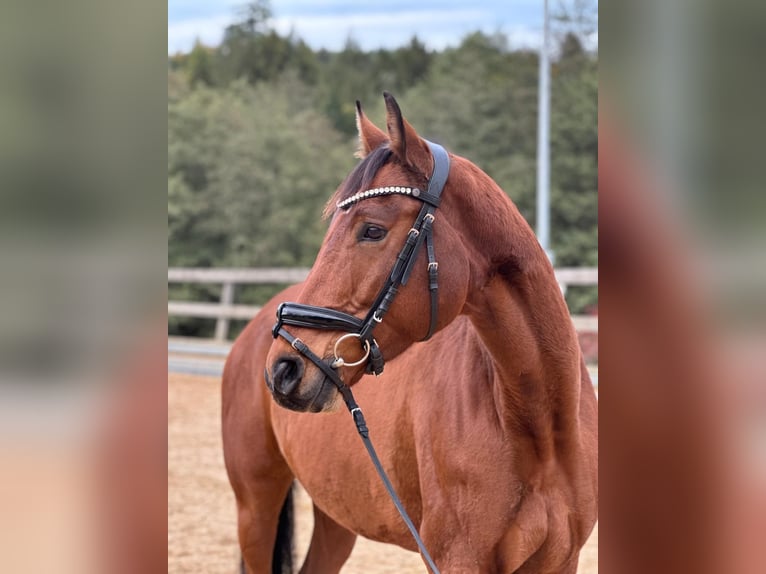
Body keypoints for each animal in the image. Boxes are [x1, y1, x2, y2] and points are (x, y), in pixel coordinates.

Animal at [222, 93, 598, 573]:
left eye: (372, 230)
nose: (283, 369)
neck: (541, 432)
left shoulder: (561, 560)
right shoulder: (457, 558)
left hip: (336, 515)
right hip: (255, 506)